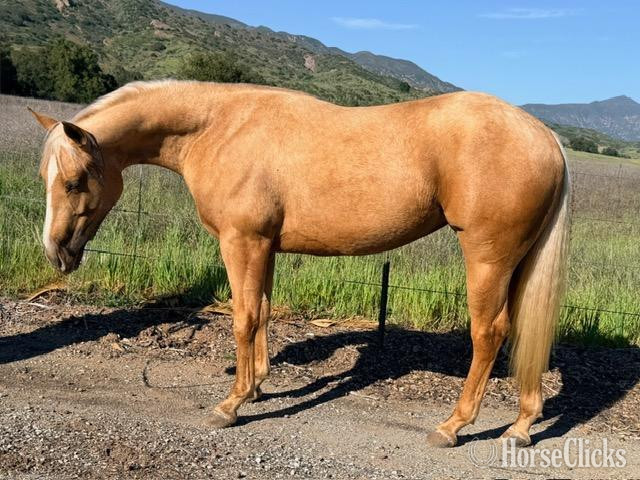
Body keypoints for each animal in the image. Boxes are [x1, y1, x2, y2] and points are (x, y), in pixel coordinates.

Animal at [30, 80, 570, 448]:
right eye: (44, 177)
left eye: (74, 181)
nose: (56, 251)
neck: (220, 127)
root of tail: (547, 138)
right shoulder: (263, 247)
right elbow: (263, 314)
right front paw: (257, 388)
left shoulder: (241, 243)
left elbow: (243, 318)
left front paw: (231, 404)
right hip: (516, 263)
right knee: (521, 332)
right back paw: (521, 426)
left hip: (486, 257)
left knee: (490, 332)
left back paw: (454, 426)